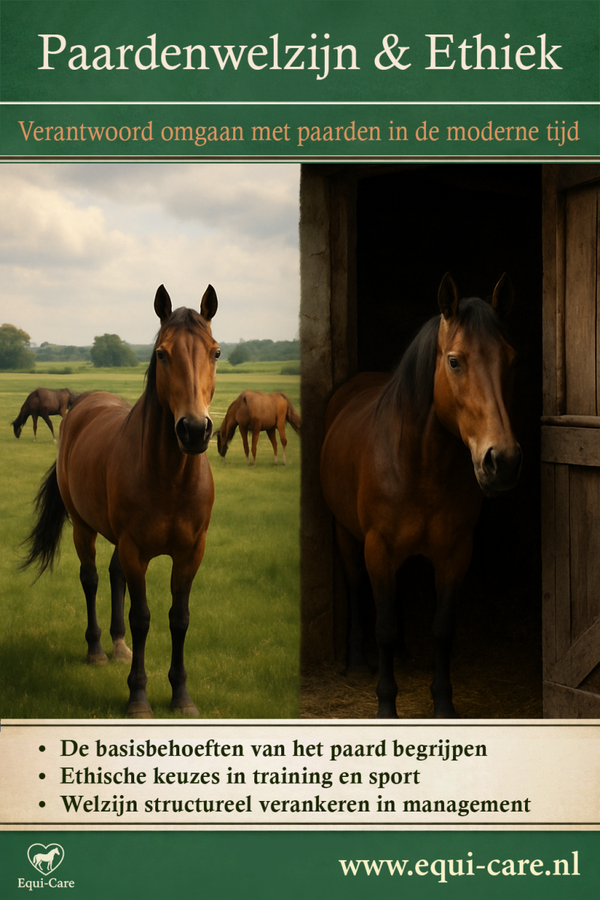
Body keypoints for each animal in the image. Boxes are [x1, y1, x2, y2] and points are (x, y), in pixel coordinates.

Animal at [22, 284, 220, 718]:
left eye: (215, 352)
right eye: (162, 353)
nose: (194, 429)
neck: (169, 479)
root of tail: (83, 402)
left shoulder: (191, 553)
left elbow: (179, 618)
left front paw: (181, 695)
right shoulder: (135, 550)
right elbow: (142, 616)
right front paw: (138, 697)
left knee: (113, 576)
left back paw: (118, 645)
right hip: (84, 528)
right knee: (92, 578)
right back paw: (97, 649)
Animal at [320, 273, 522, 719]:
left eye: (511, 359)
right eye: (455, 361)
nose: (503, 461)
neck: (419, 465)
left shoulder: (455, 553)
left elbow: (442, 629)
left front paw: (444, 704)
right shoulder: (377, 547)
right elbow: (383, 626)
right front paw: (385, 705)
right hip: (346, 534)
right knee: (356, 587)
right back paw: (357, 663)